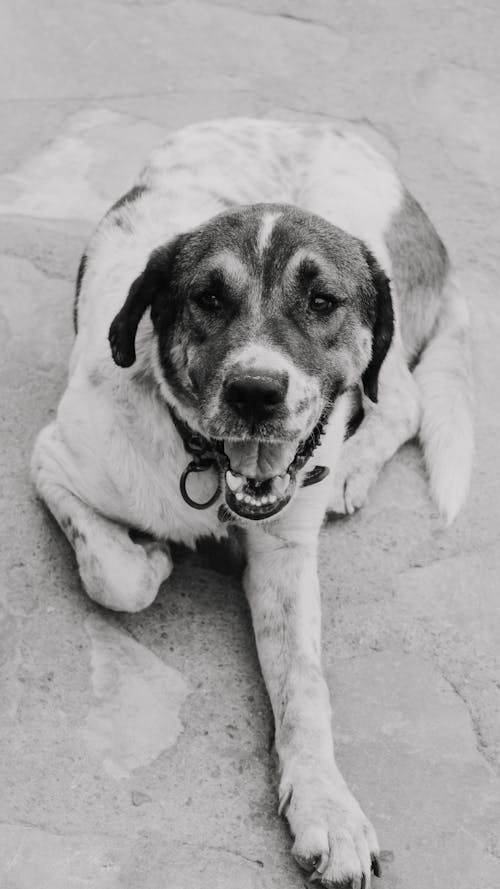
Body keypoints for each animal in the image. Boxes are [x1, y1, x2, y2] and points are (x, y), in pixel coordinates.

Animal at [30, 118, 472, 888]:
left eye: (323, 301)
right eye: (208, 299)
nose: (256, 393)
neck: (203, 465)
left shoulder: (286, 553)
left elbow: (305, 688)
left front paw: (327, 807)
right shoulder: (52, 456)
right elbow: (115, 579)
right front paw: (152, 558)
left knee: (401, 397)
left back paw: (351, 464)